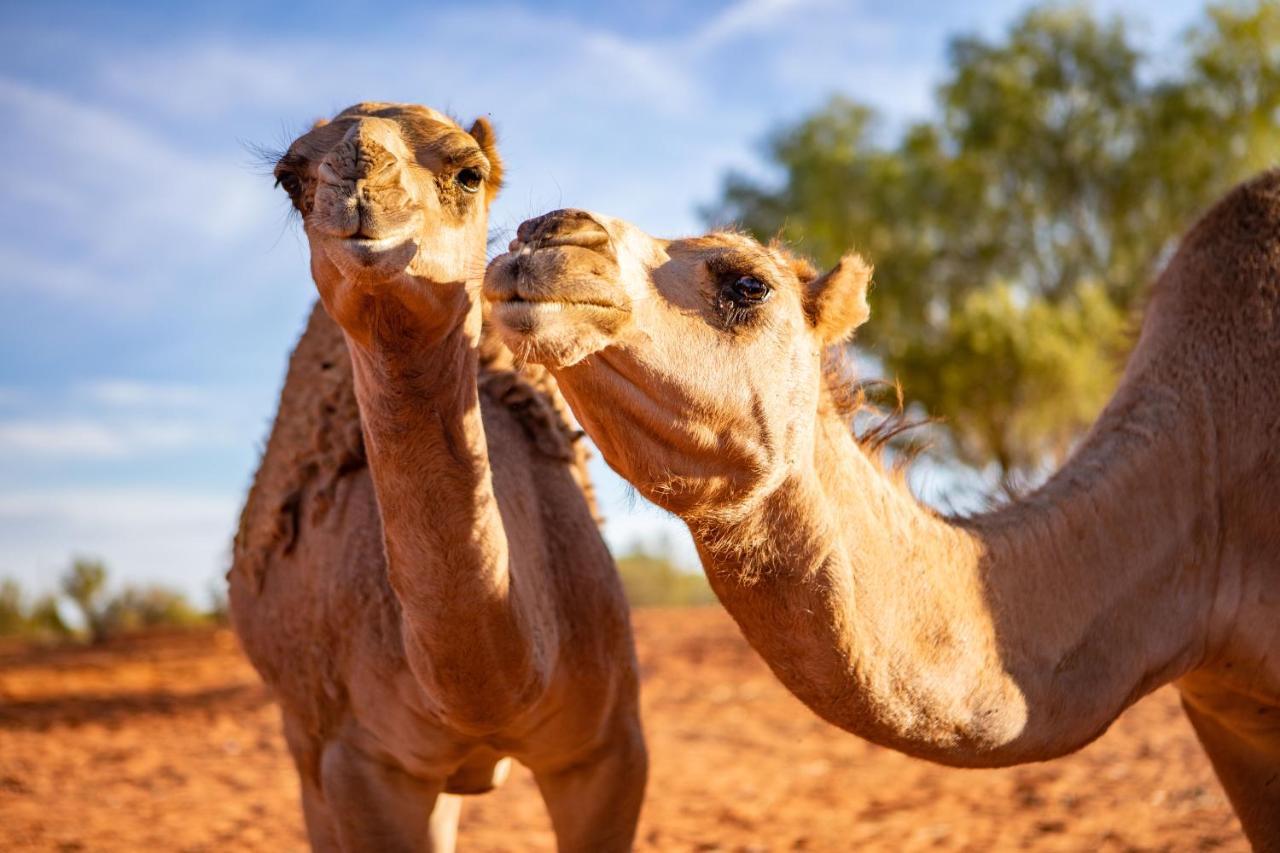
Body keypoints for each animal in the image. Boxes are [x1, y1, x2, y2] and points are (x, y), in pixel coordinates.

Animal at [227, 103, 650, 845]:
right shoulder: (362, 762)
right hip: (304, 738)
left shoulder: (608, 746)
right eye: (289, 178)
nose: (359, 172)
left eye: (468, 172)